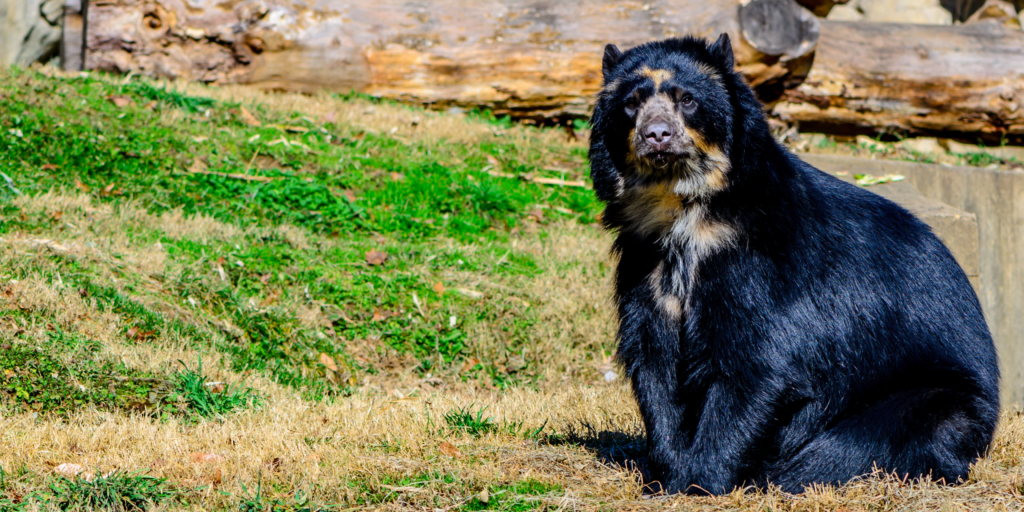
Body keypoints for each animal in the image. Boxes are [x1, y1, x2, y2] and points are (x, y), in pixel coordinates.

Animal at [589, 34, 1000, 495]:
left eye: (688, 100)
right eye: (631, 103)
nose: (656, 135)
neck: (683, 212)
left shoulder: (759, 267)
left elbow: (757, 361)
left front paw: (699, 481)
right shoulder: (646, 265)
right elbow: (655, 364)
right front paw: (666, 474)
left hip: (937, 399)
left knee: (857, 445)